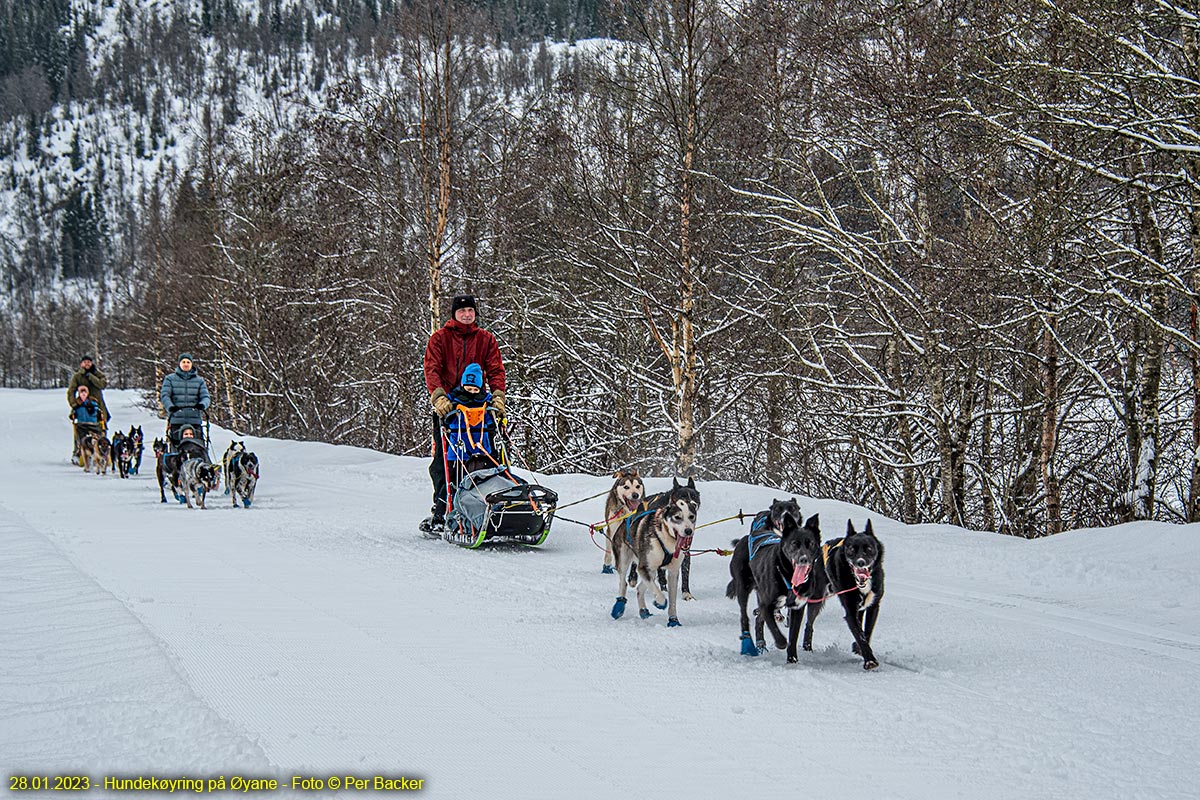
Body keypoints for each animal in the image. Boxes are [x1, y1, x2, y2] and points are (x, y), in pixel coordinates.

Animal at [720, 501, 825, 662]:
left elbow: (793, 636)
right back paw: (749, 644)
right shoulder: (766, 604)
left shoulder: (797, 608)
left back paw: (761, 644)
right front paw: (781, 643)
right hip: (743, 587)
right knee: (744, 617)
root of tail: (747, 537)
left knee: (758, 620)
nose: (804, 559)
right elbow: (777, 632)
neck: (788, 575)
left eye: (811, 544)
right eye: (794, 543)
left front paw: (792, 660)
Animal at [820, 520, 888, 671]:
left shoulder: (873, 606)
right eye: (851, 549)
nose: (860, 562)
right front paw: (870, 660)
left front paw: (860, 649)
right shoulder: (850, 610)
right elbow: (859, 633)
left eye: (869, 548)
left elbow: (867, 632)